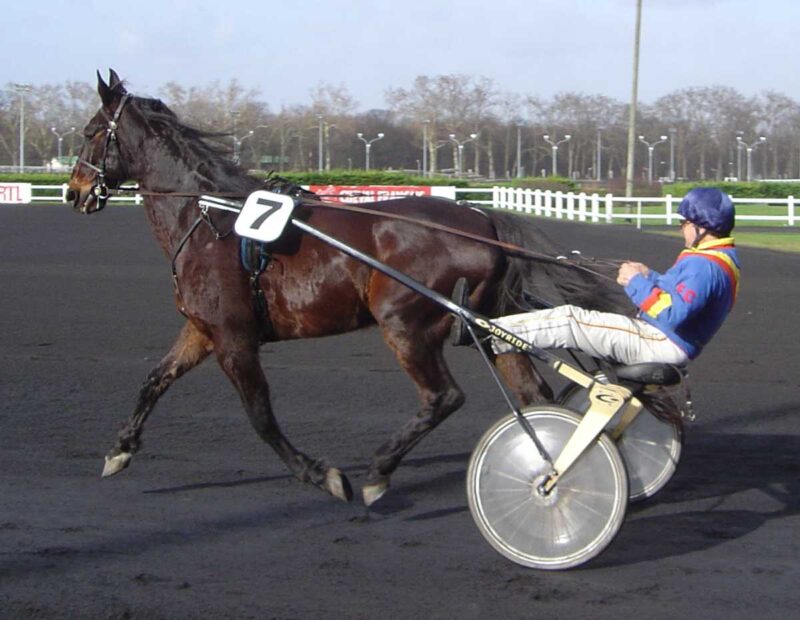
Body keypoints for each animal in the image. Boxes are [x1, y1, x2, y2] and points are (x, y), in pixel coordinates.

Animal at [67, 70, 632, 506]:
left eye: (91, 131)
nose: (75, 191)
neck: (210, 220)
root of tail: (482, 220)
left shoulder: (234, 338)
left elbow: (261, 417)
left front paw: (325, 475)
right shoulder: (203, 330)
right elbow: (154, 380)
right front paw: (120, 449)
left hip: (405, 322)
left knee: (443, 396)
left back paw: (381, 471)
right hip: (489, 329)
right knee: (530, 393)